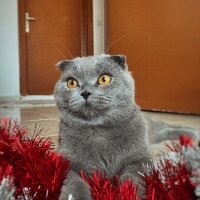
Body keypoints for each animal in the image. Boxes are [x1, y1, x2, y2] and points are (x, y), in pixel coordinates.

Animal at [54, 54, 198, 200]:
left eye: (104, 79)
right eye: (71, 83)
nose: (85, 92)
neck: (99, 131)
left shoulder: (139, 159)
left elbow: (132, 179)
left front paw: (128, 193)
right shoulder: (66, 161)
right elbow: (74, 181)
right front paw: (76, 196)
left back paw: (190, 137)